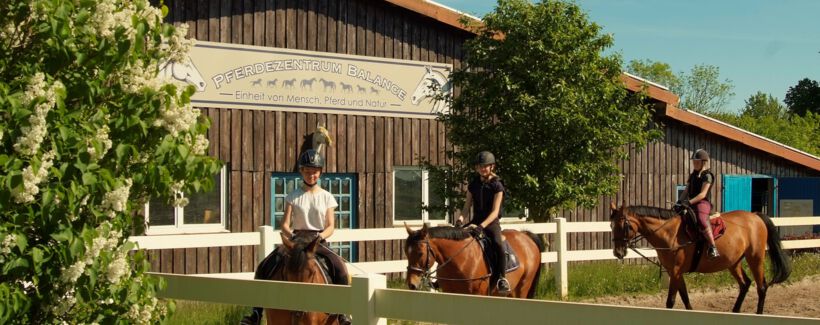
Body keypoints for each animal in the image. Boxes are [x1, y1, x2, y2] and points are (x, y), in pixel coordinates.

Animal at [608, 201, 788, 312]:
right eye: (611, 225)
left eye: (623, 225)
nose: (618, 252)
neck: (669, 233)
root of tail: (756, 216)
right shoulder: (676, 273)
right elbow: (686, 299)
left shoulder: (675, 272)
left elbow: (670, 301)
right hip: (733, 262)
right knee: (745, 284)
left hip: (755, 258)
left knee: (761, 287)